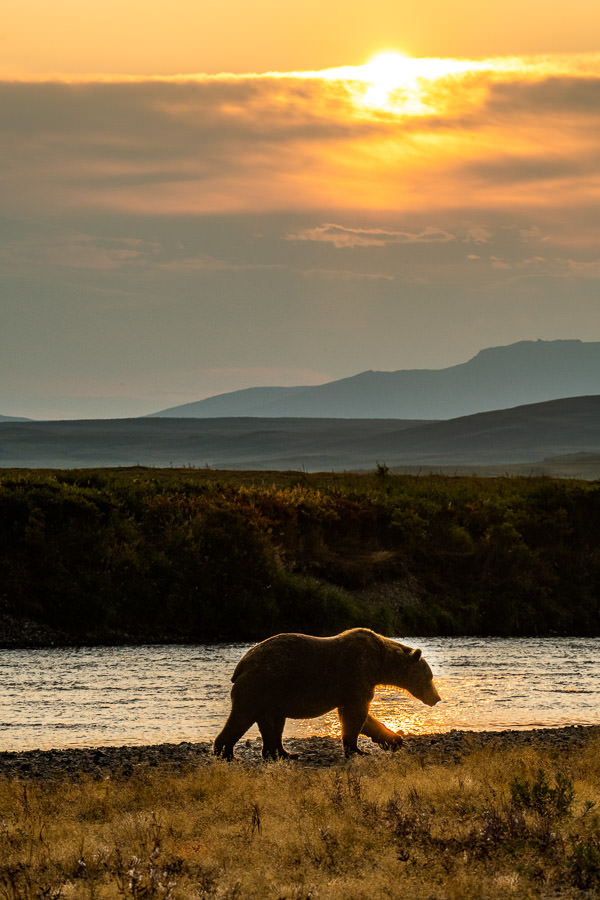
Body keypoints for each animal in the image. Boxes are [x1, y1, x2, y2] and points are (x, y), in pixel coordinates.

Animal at [214, 627, 441, 760]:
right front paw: (359, 749)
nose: (437, 698)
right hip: (261, 684)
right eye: (429, 677)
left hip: (273, 695)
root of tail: (242, 663)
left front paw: (393, 739)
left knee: (272, 724)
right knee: (242, 716)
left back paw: (283, 753)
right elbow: (355, 713)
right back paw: (226, 752)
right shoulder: (357, 672)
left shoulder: (356, 684)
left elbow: (362, 716)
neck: (381, 663)